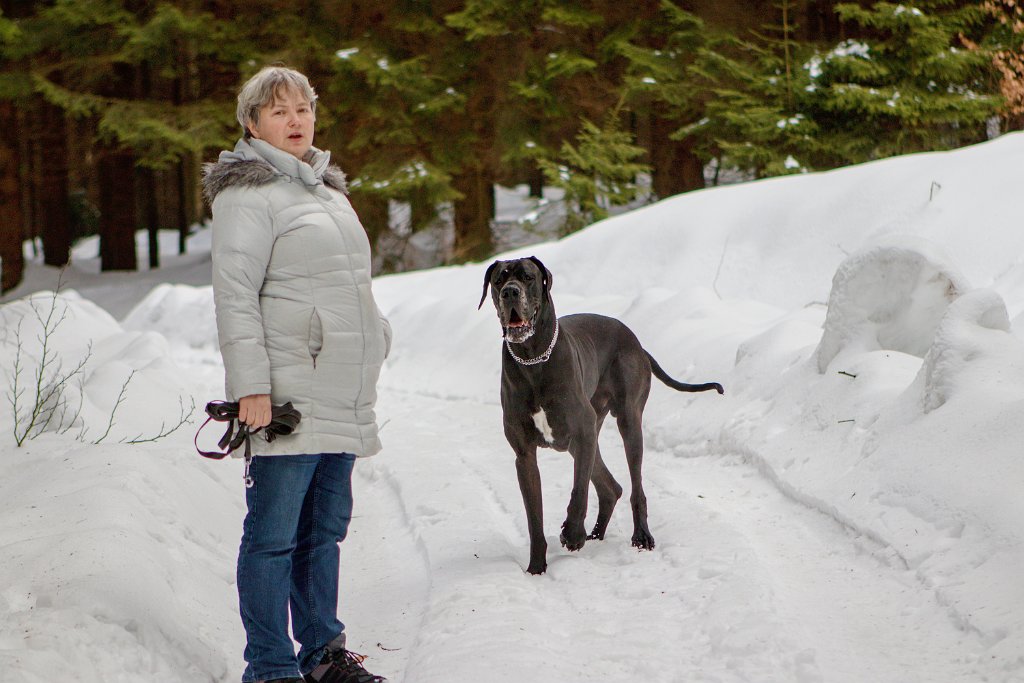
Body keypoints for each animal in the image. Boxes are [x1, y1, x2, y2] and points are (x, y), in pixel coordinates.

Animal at [477, 259, 724, 573]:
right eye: (499, 280)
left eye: (528, 277)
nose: (510, 292)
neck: (533, 359)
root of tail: (636, 341)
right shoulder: (525, 455)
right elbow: (534, 516)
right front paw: (536, 567)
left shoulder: (582, 433)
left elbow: (579, 491)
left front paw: (572, 535)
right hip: (588, 432)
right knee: (611, 488)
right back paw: (595, 533)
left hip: (626, 422)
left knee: (634, 486)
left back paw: (640, 536)